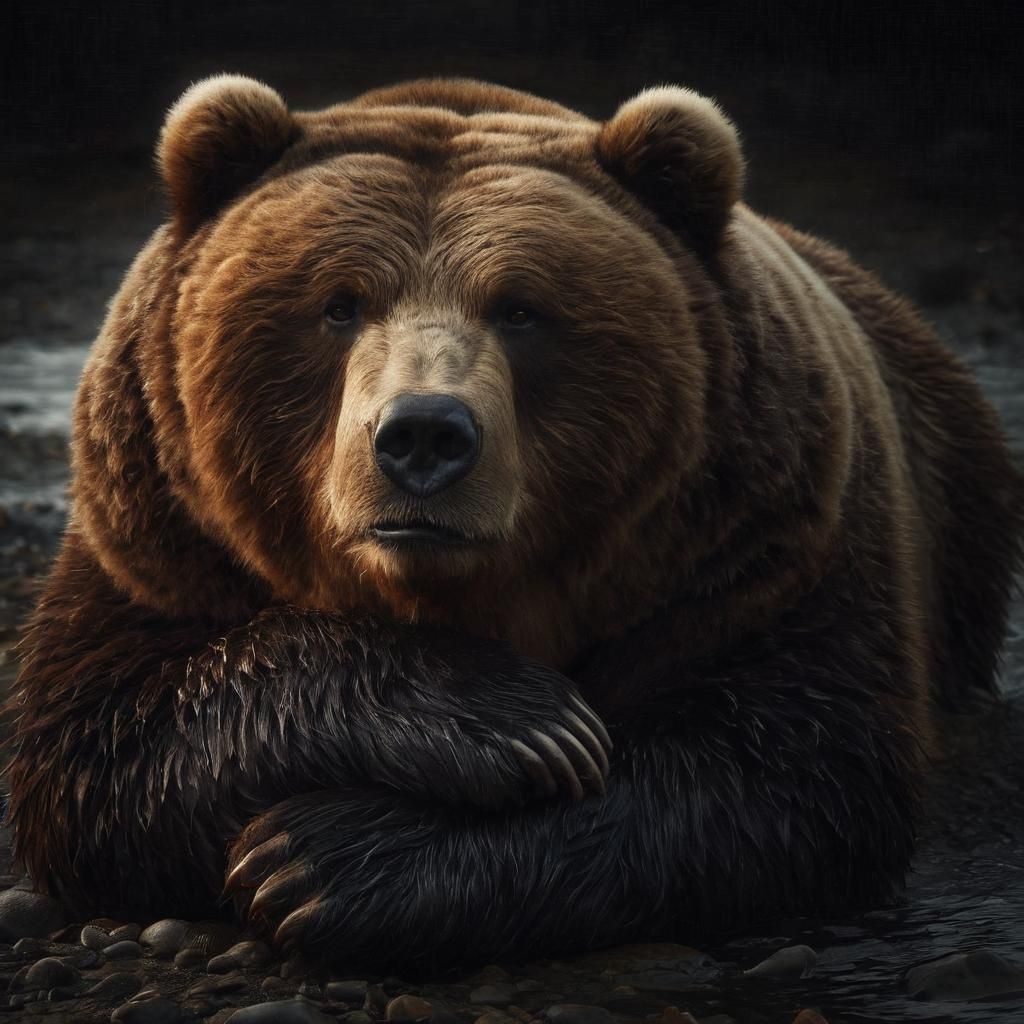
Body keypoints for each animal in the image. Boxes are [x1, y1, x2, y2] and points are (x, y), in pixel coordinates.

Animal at [6, 75, 1023, 971]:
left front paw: (316, 860)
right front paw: (509, 718)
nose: (422, 434)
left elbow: (787, 777)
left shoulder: (769, 549)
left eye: (523, 309)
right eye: (338, 304)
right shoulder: (158, 539)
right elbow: (106, 742)